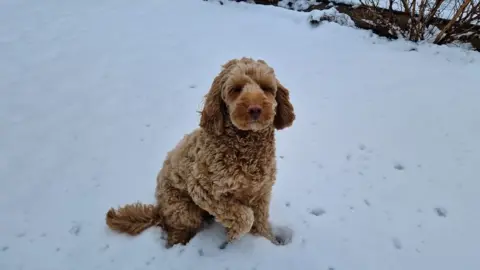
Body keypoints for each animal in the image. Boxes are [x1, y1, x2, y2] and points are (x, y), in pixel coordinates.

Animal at [106, 57, 294, 249]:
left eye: (266, 88)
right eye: (235, 89)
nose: (255, 109)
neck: (246, 146)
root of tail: (159, 209)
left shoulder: (261, 192)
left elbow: (260, 220)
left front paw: (267, 240)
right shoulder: (203, 190)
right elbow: (244, 217)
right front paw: (234, 234)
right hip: (183, 209)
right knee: (176, 231)